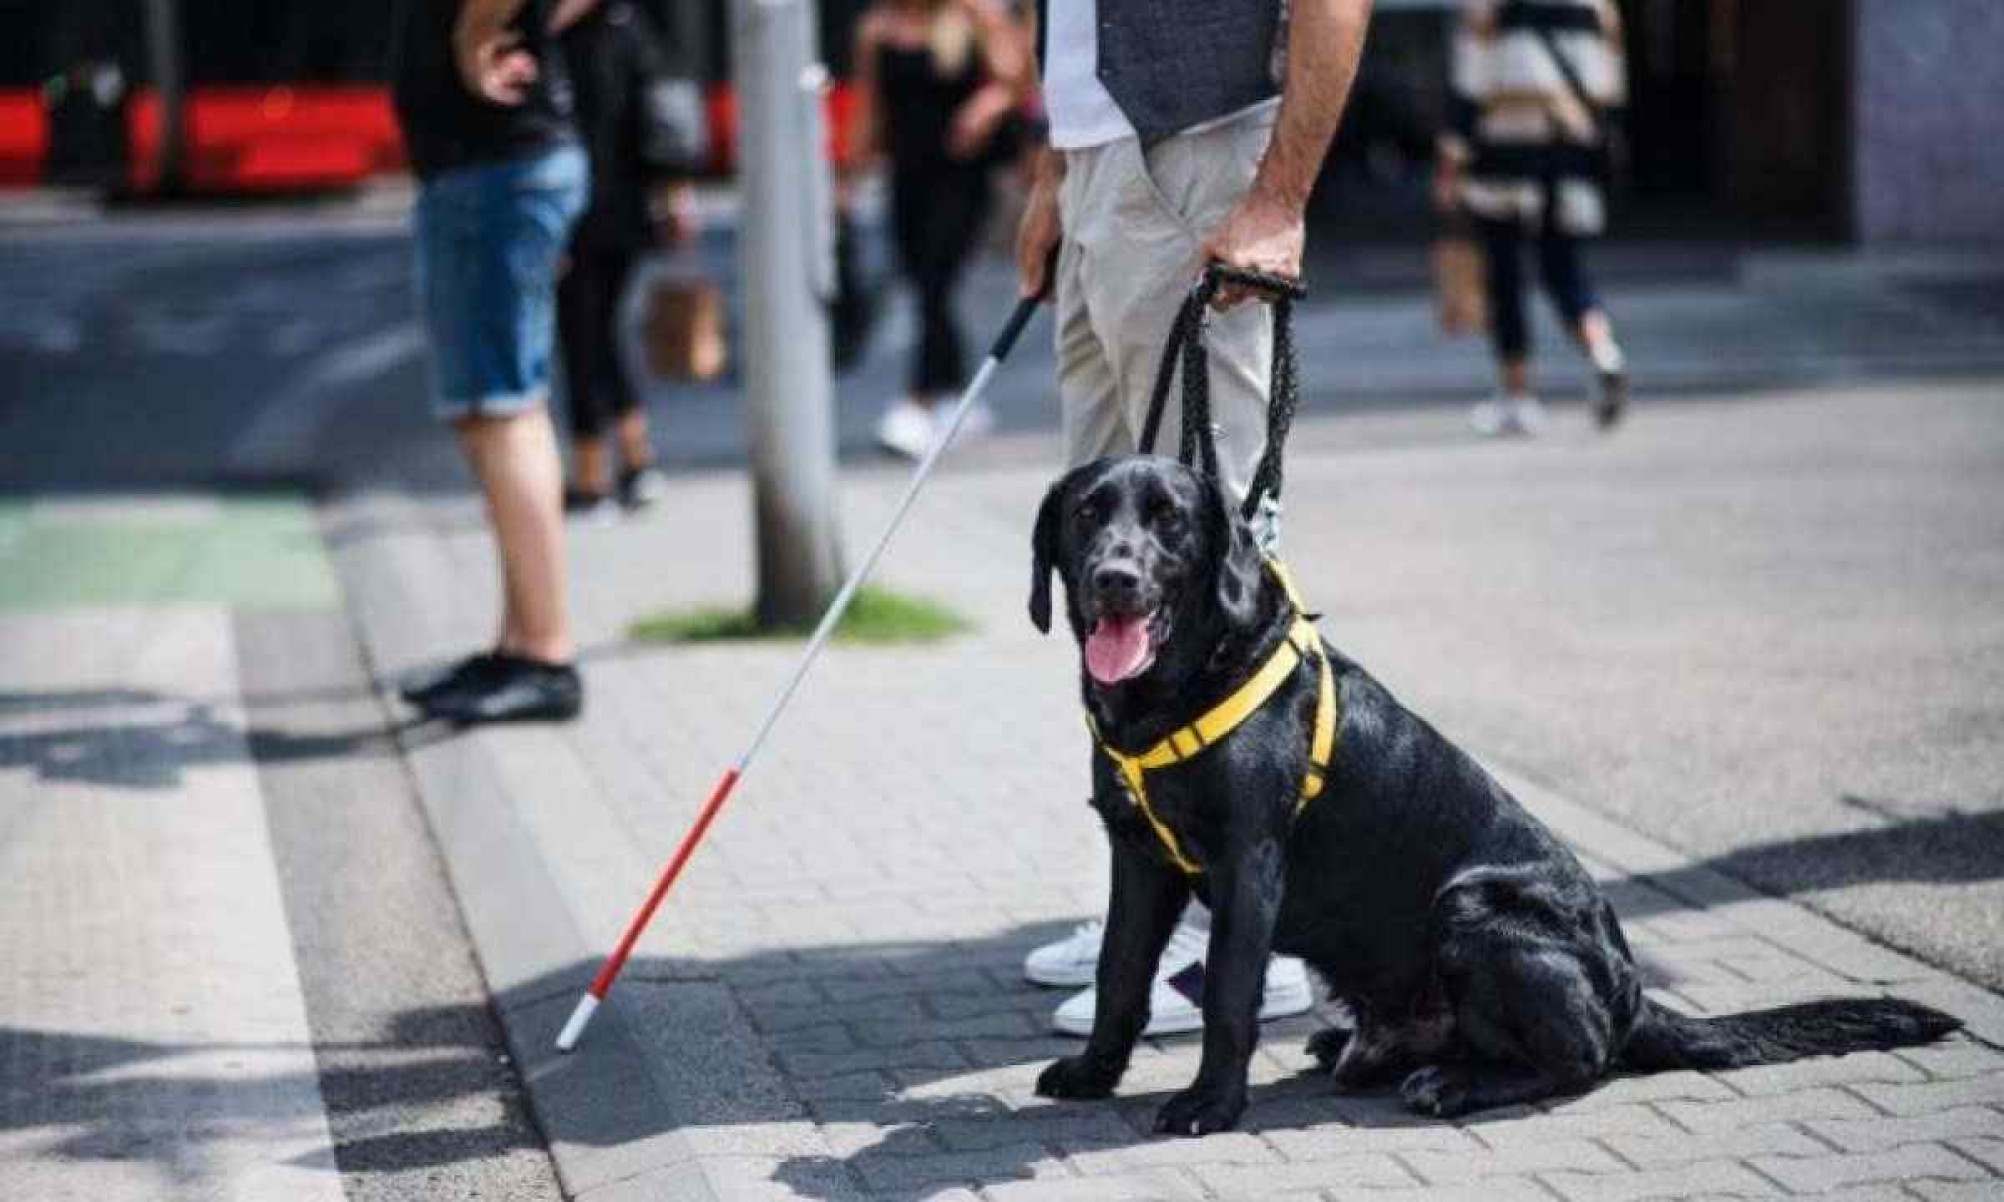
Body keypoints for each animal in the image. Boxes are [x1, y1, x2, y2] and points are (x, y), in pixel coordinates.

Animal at [1034, 458, 1955, 1137]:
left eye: (1169, 519)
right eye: (1087, 513)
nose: (1114, 578)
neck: (1177, 691)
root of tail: (1631, 995)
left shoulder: (1247, 865)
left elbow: (1228, 993)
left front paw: (1210, 1105)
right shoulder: (1138, 859)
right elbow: (1119, 974)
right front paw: (1092, 1073)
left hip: (1474, 907)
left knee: (1583, 1060)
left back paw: (1454, 1083)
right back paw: (1359, 1046)